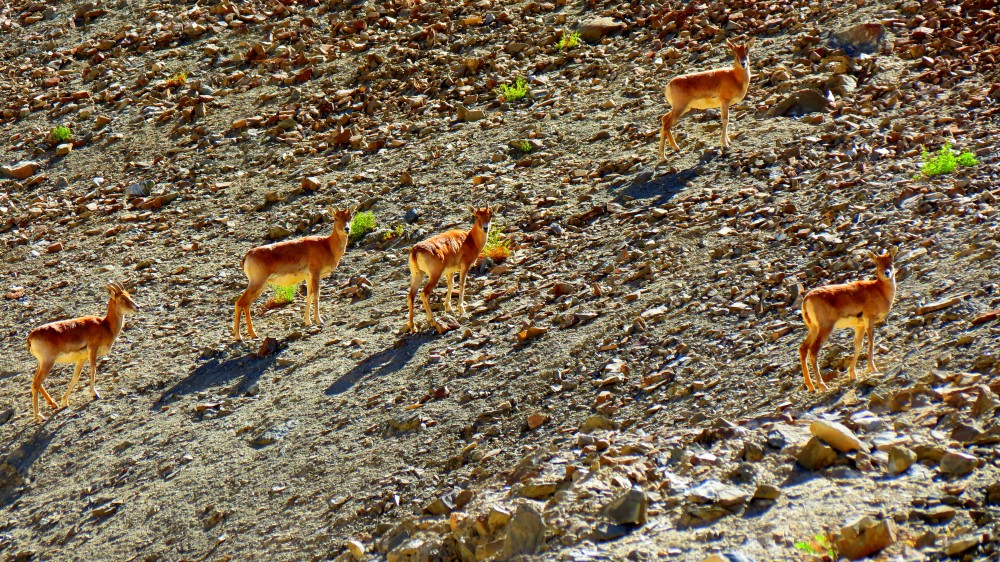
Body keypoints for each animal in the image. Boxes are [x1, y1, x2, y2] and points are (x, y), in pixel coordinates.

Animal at [27, 280, 141, 420]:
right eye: (122, 298)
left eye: (129, 295)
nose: (137, 307)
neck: (105, 326)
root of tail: (32, 336)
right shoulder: (92, 350)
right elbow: (93, 369)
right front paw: (94, 394)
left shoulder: (81, 359)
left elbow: (75, 377)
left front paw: (64, 402)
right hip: (48, 362)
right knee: (36, 383)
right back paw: (39, 416)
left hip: (42, 363)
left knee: (35, 380)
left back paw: (53, 404)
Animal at [232, 205, 354, 340]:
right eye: (336, 218)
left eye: (350, 216)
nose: (347, 229)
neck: (327, 245)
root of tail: (248, 255)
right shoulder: (315, 273)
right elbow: (316, 294)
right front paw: (319, 320)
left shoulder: (308, 277)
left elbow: (309, 296)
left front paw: (308, 321)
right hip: (257, 283)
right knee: (240, 303)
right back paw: (239, 336)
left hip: (261, 285)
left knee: (246, 304)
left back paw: (253, 334)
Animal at [796, 247, 900, 392]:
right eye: (877, 263)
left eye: (891, 261)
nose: (887, 273)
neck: (879, 290)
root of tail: (807, 299)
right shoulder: (869, 319)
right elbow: (871, 341)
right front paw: (873, 369)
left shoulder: (859, 326)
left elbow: (858, 345)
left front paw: (852, 375)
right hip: (825, 328)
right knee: (813, 351)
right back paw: (823, 386)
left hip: (813, 329)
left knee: (803, 349)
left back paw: (811, 386)